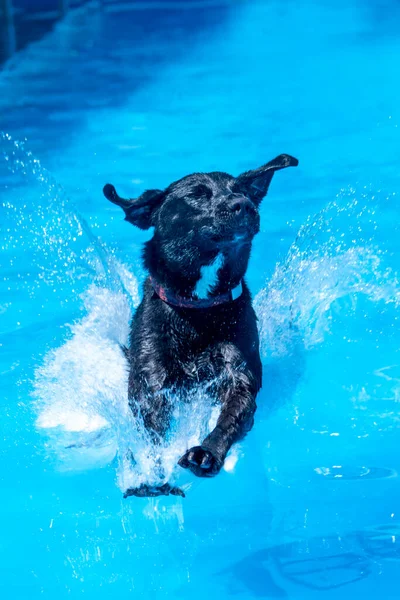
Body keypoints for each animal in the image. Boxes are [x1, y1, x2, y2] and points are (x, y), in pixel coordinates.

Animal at [103, 154, 296, 496]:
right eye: (196, 195)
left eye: (240, 189)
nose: (243, 204)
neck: (198, 310)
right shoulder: (152, 381)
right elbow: (153, 430)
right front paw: (151, 472)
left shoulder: (238, 374)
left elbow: (231, 416)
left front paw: (206, 453)